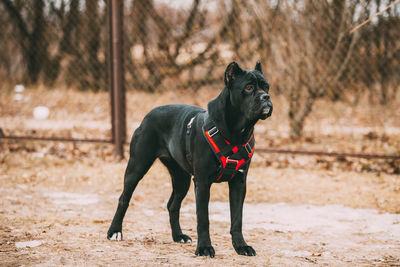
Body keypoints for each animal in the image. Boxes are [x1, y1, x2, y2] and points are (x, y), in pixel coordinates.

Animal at [108, 61, 274, 258]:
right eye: (248, 88)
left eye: (266, 87)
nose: (266, 97)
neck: (237, 132)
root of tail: (148, 115)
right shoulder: (202, 182)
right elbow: (203, 218)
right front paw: (204, 248)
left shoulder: (239, 183)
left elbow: (237, 218)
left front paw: (241, 246)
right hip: (137, 167)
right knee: (123, 198)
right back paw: (115, 231)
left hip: (181, 178)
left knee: (172, 205)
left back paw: (178, 236)